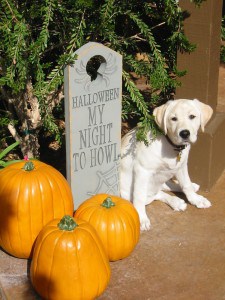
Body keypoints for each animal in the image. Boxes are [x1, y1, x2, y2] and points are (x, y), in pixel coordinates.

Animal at [119, 98, 213, 230]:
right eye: (173, 119)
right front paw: (141, 218)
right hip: (127, 192)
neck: (172, 146)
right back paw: (175, 201)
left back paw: (183, 196)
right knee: (153, 195)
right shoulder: (142, 171)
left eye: (192, 116)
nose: (184, 133)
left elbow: (186, 185)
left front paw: (195, 199)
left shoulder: (181, 166)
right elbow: (139, 196)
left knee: (164, 188)